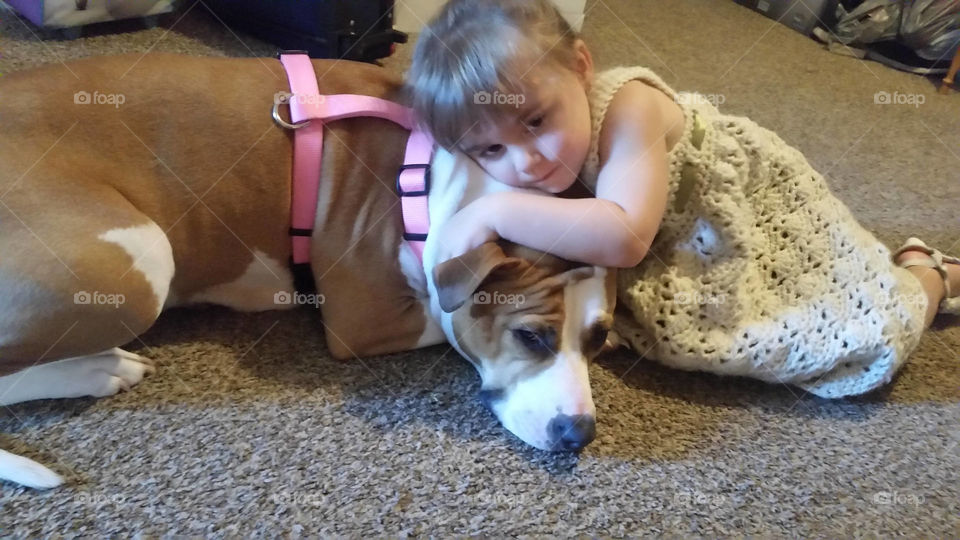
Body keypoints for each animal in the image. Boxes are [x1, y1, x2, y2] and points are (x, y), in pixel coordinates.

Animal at [0, 54, 616, 490]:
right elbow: (442, 315)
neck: (426, 177)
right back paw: (96, 370)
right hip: (141, 261)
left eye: (599, 341)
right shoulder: (361, 317)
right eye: (530, 336)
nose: (579, 434)